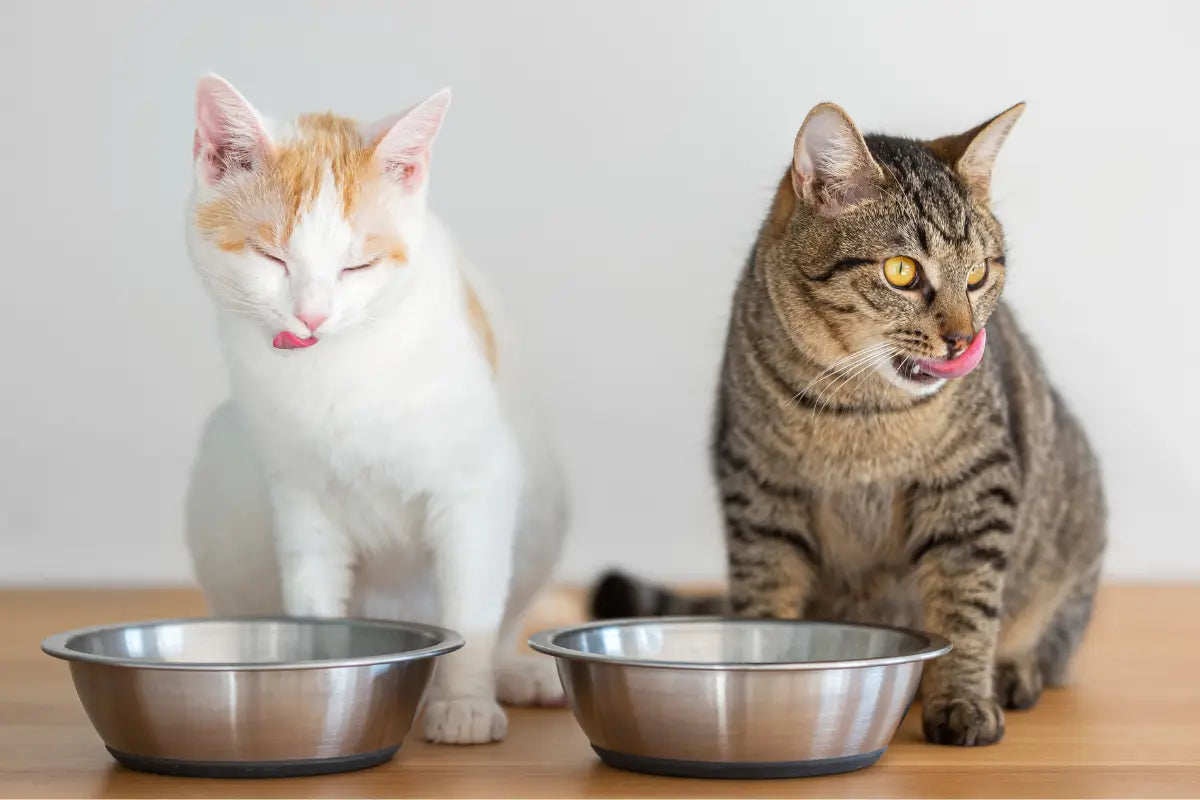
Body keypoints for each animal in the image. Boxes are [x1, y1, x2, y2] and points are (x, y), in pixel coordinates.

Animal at [183, 76, 566, 743]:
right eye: (271, 258)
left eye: (356, 265)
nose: (311, 315)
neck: (335, 369)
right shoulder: (302, 501)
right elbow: (313, 603)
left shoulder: (477, 487)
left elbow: (473, 608)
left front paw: (463, 702)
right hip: (221, 474)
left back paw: (516, 675)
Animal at [592, 103, 1104, 748]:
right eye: (902, 271)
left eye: (979, 274)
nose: (963, 339)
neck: (858, 411)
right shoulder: (759, 491)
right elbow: (764, 596)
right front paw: (759, 674)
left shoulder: (974, 485)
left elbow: (966, 603)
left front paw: (962, 697)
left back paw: (1014, 672)